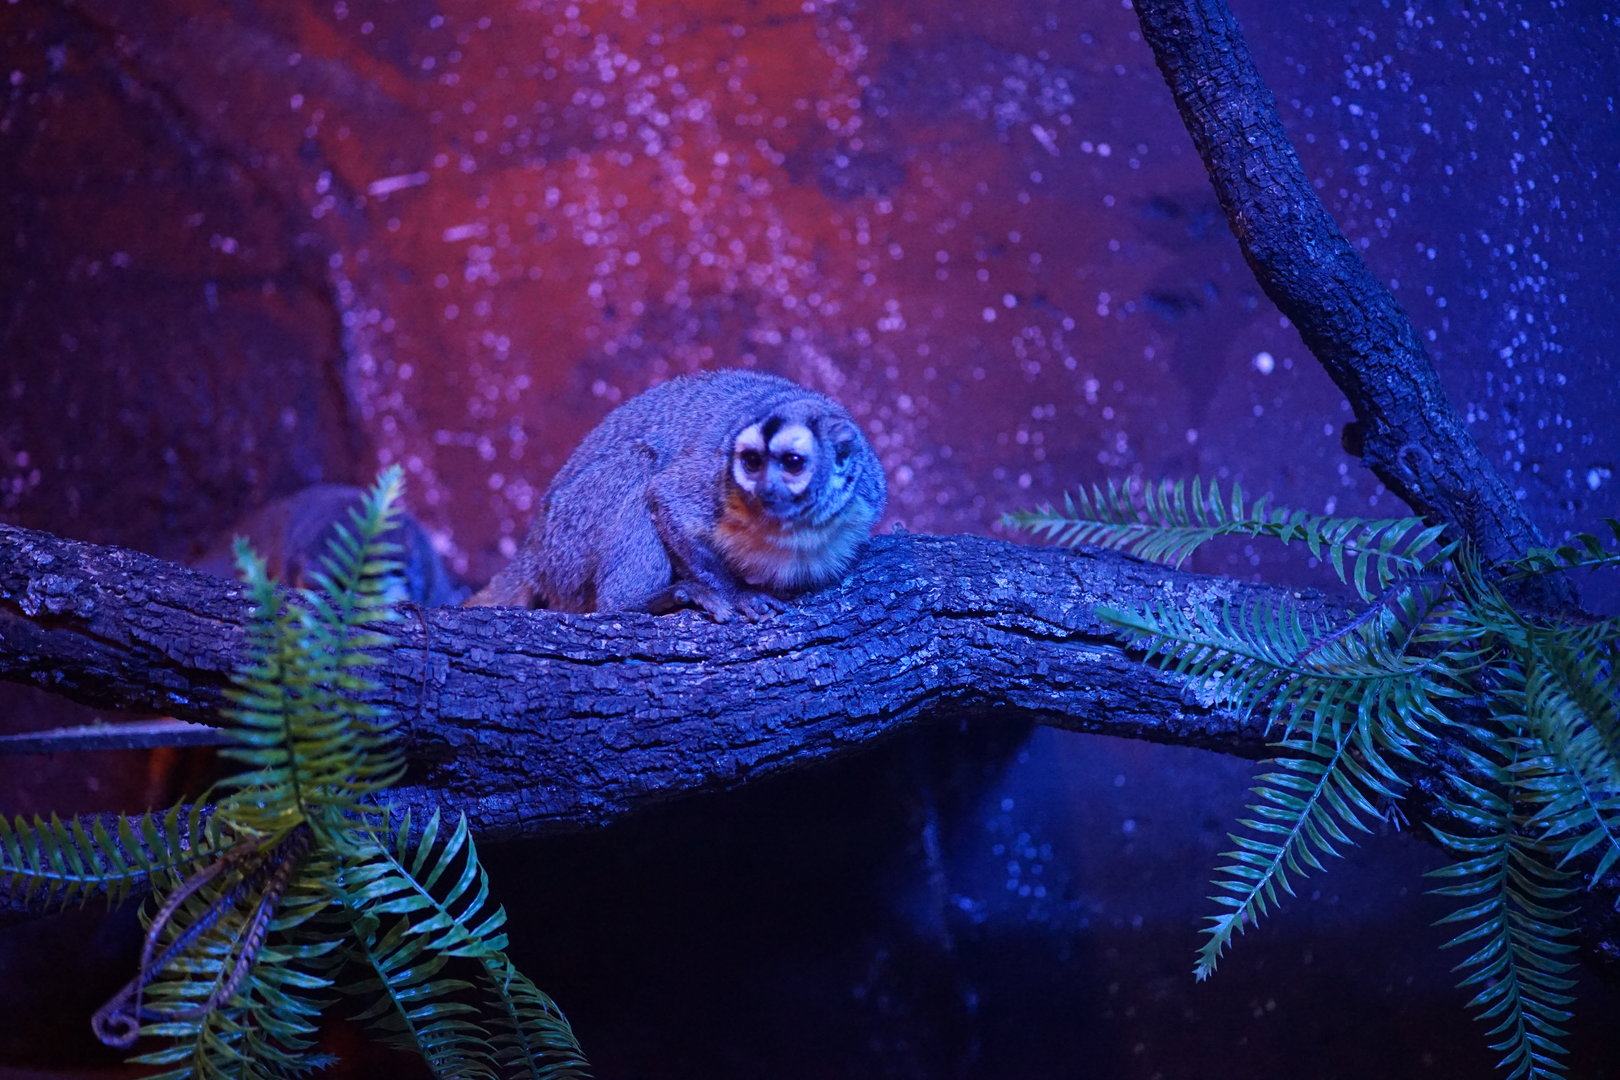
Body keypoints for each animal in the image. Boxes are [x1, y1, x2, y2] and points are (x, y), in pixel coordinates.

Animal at [467, 368, 886, 621]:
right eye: (751, 462)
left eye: (793, 463)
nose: (766, 487)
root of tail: (534, 548)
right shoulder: (716, 480)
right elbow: (665, 496)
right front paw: (736, 594)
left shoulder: (867, 497)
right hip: (565, 544)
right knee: (637, 466)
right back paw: (642, 603)